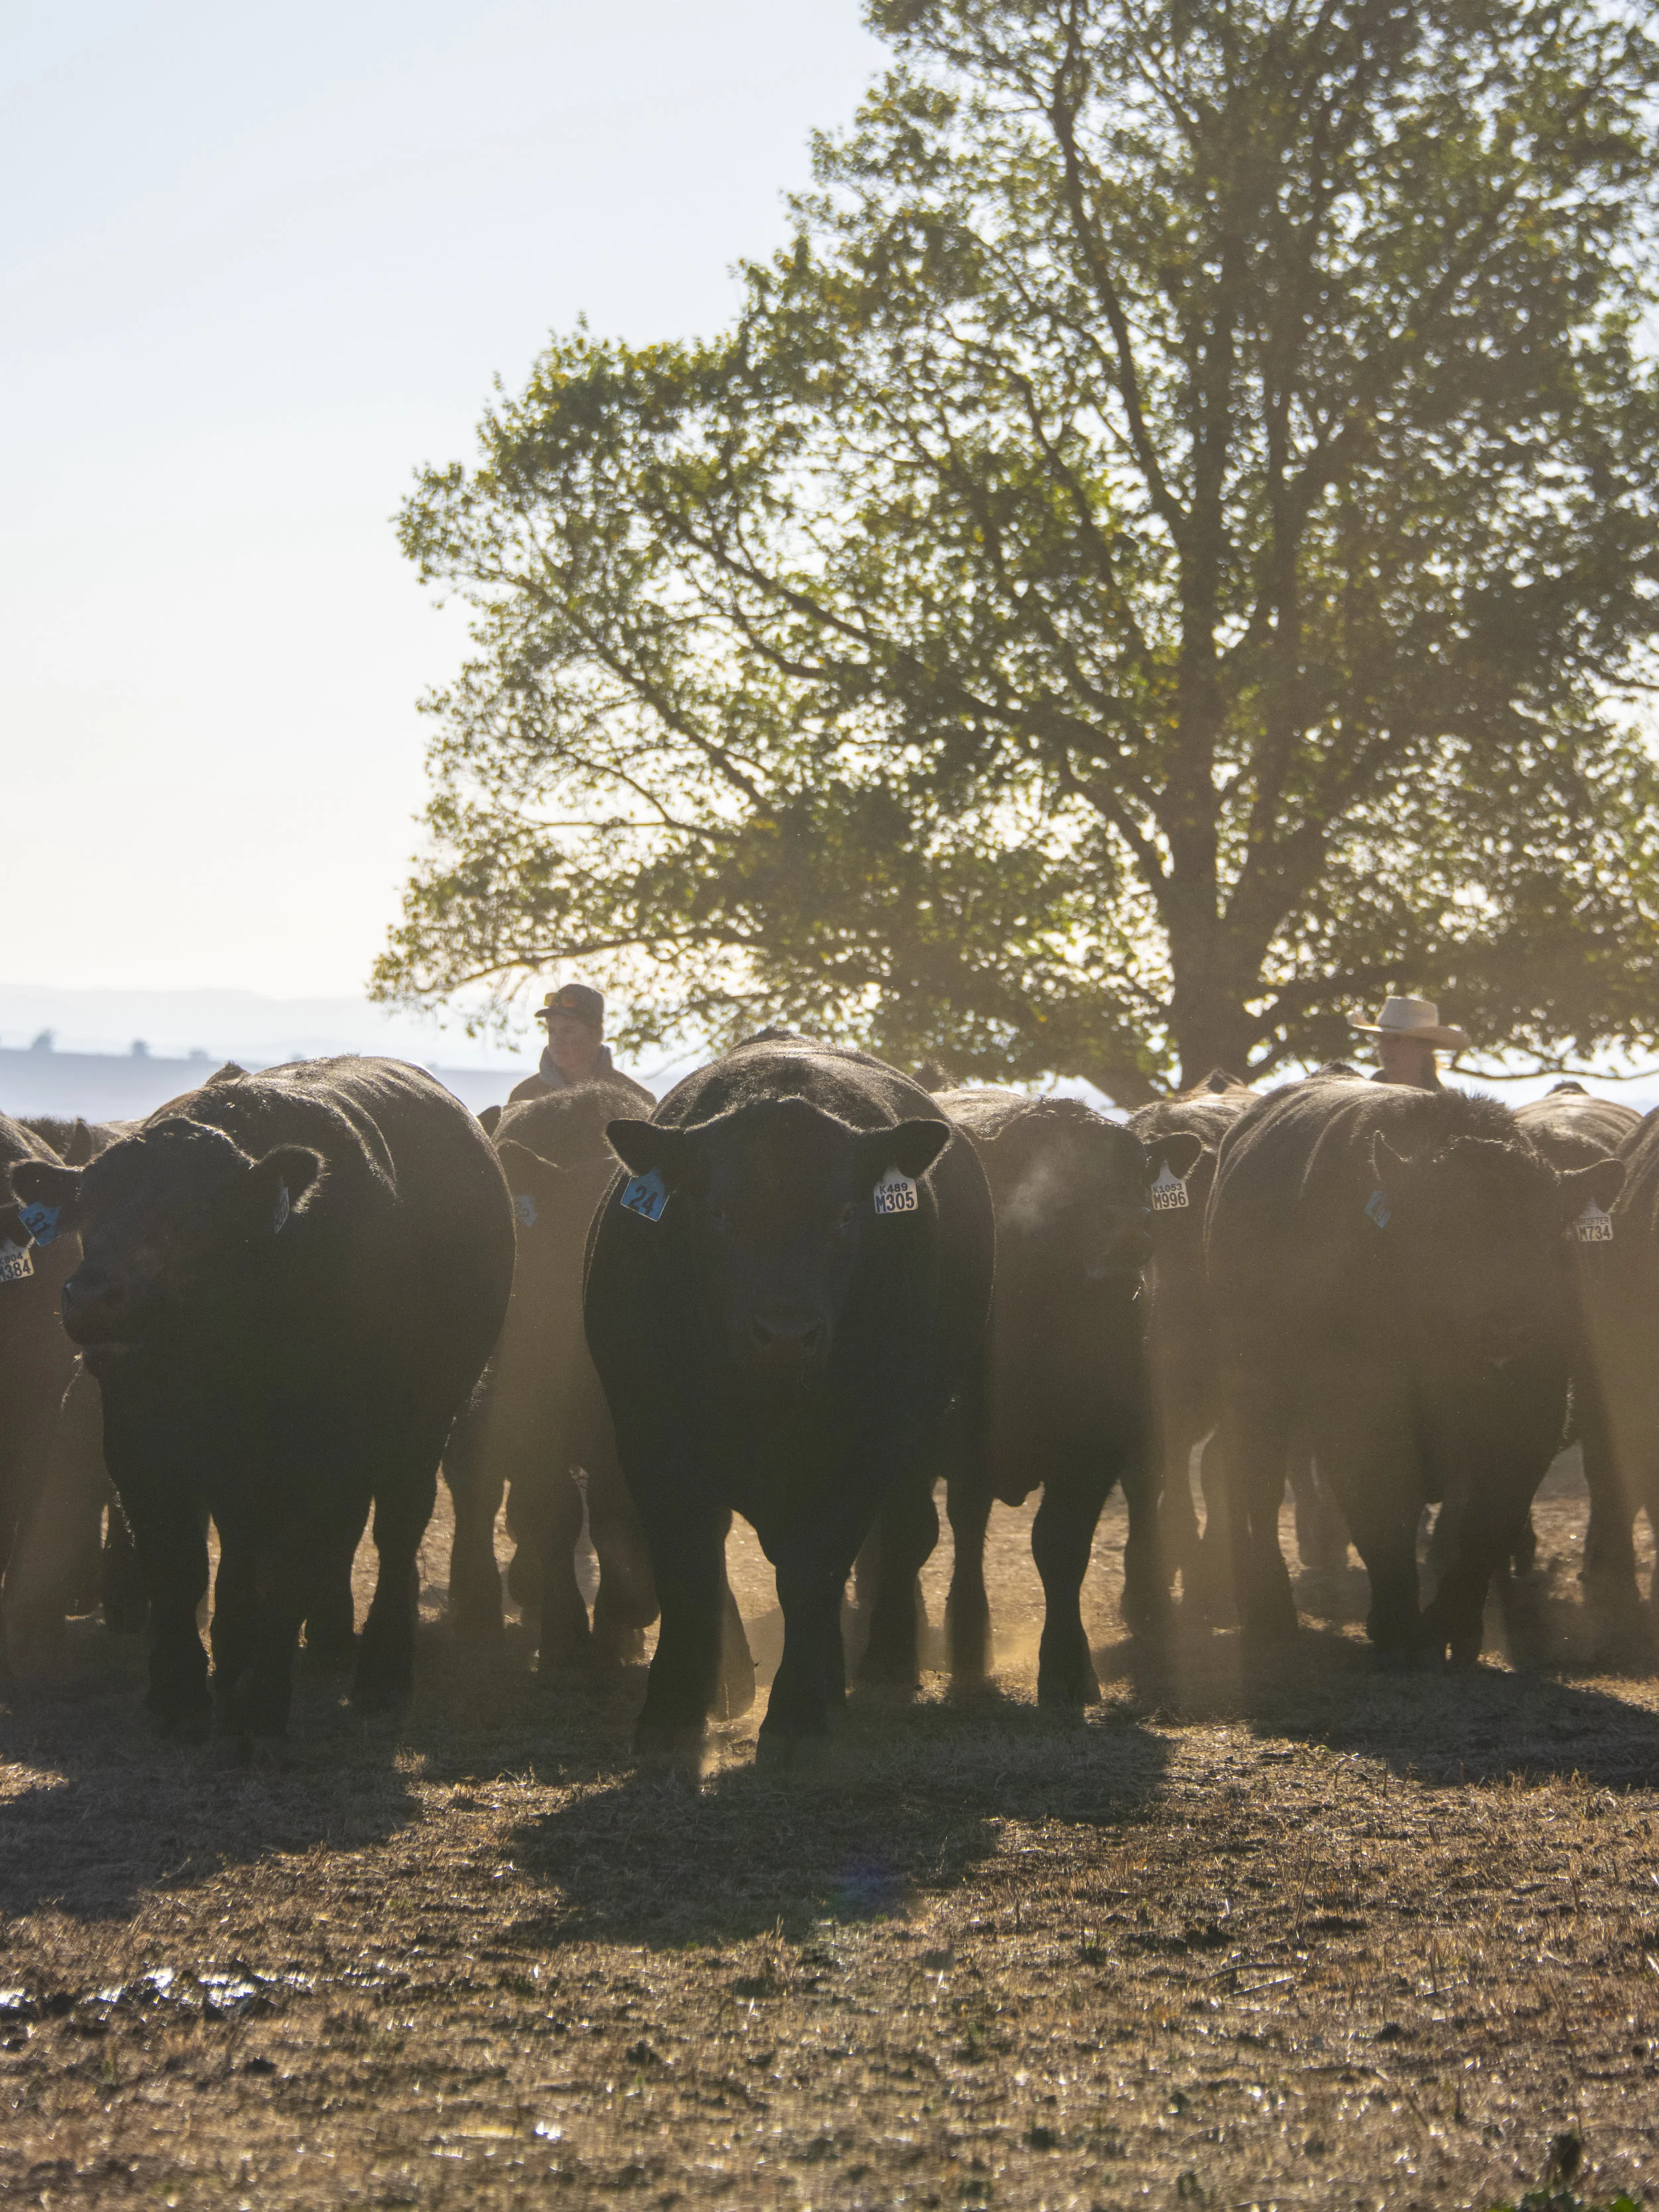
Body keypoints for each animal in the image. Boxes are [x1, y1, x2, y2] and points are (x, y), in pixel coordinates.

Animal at [11, 1057, 515, 1740]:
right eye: (86, 1208)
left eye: (193, 1214)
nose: (90, 1298)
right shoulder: (141, 1441)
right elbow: (175, 1560)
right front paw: (178, 1690)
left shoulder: (329, 1455)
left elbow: (293, 1566)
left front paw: (260, 1703)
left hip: (425, 1421)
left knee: (395, 1530)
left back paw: (378, 1667)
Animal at [582, 1032, 994, 1765]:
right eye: (718, 1212)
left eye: (845, 1213)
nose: (785, 1335)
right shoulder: (654, 1444)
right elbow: (688, 1571)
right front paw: (672, 1711)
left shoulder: (865, 1450)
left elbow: (814, 1569)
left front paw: (798, 1716)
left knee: (898, 1538)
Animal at [1208, 1078, 1620, 1664]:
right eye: (1440, 1230)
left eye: (1549, 1235)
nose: (1510, 1328)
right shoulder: (1359, 1409)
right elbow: (1382, 1511)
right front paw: (1399, 1628)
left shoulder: (1532, 1414)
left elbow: (1487, 1523)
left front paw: (1455, 1624)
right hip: (1253, 1387)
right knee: (1255, 1486)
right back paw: (1268, 1610)